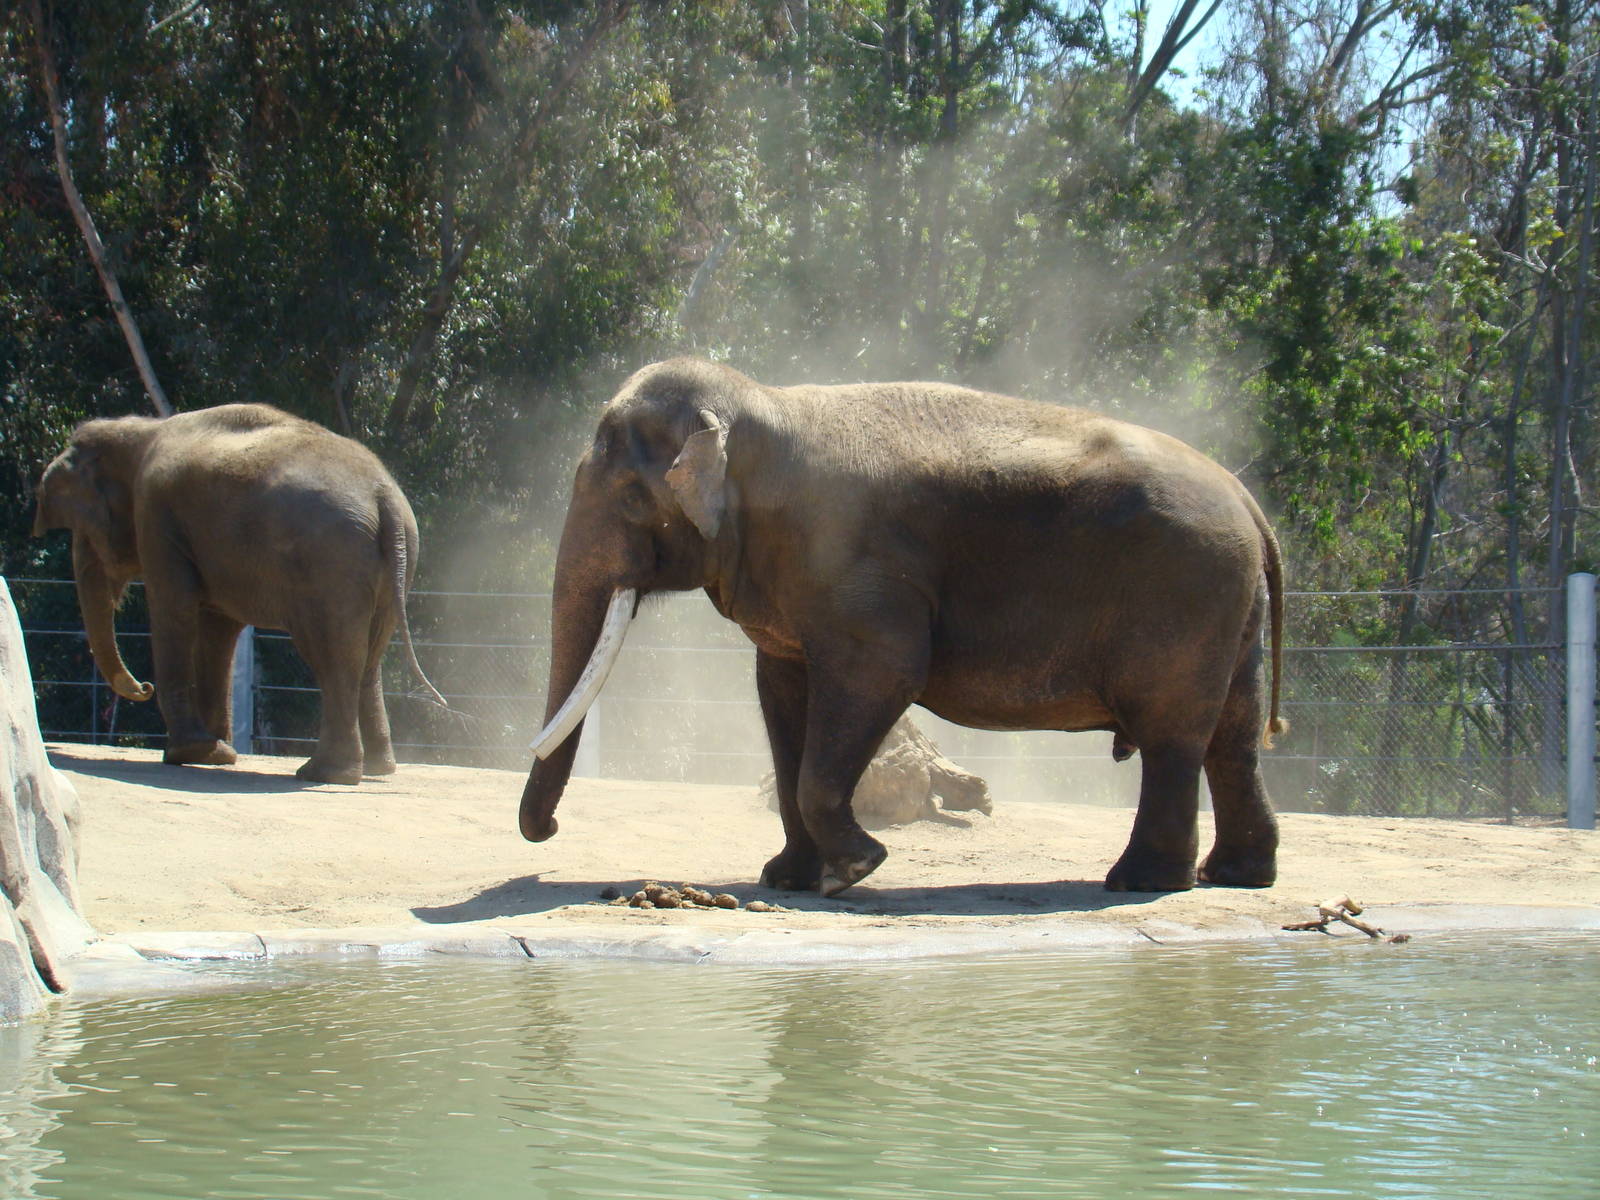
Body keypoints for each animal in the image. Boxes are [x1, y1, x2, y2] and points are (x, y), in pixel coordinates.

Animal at [33, 403, 444, 785]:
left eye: (84, 533)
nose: (143, 688)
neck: (141, 432)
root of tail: (383, 495)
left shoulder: (157, 516)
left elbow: (174, 610)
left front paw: (190, 754)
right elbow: (217, 630)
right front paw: (216, 754)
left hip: (331, 562)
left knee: (332, 654)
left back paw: (322, 774)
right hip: (394, 559)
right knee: (369, 656)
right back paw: (376, 769)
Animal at [519, 358, 1286, 896]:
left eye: (628, 495)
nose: (549, 831)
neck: (763, 402)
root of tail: (1248, 500)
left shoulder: (855, 572)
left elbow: (884, 672)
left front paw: (856, 870)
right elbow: (782, 694)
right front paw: (788, 878)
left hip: (1186, 593)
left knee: (1172, 733)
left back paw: (1139, 882)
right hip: (1228, 608)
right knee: (1233, 734)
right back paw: (1235, 875)